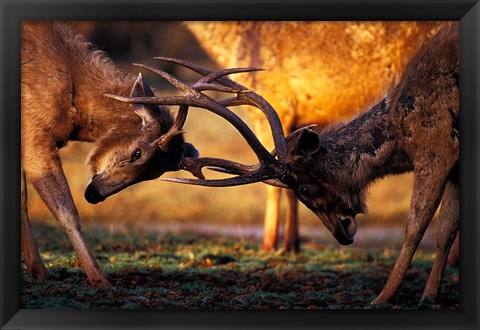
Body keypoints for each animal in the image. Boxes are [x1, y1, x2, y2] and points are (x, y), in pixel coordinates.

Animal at [20, 21, 199, 284]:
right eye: (137, 153)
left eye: (157, 172)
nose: (93, 194)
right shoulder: (34, 135)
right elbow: (67, 212)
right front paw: (99, 279)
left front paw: (38, 270)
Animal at [186, 21, 452, 253]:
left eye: (306, 189)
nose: (342, 232)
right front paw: (291, 245)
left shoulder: (277, 99)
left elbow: (273, 188)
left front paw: (269, 245)